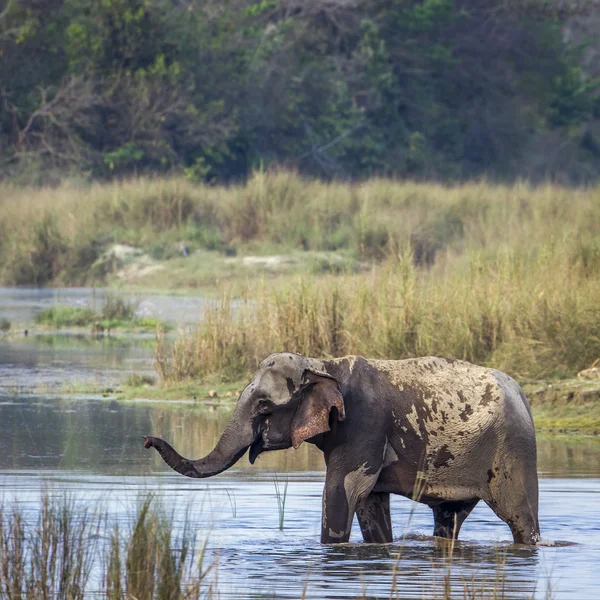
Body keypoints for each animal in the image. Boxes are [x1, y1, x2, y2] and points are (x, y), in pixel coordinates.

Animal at [143, 354, 540, 548]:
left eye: (264, 407)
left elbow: (341, 490)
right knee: (449, 518)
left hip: (513, 450)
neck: (324, 365)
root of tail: (522, 394)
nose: (147, 440)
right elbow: (368, 502)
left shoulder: (363, 425)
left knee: (519, 515)